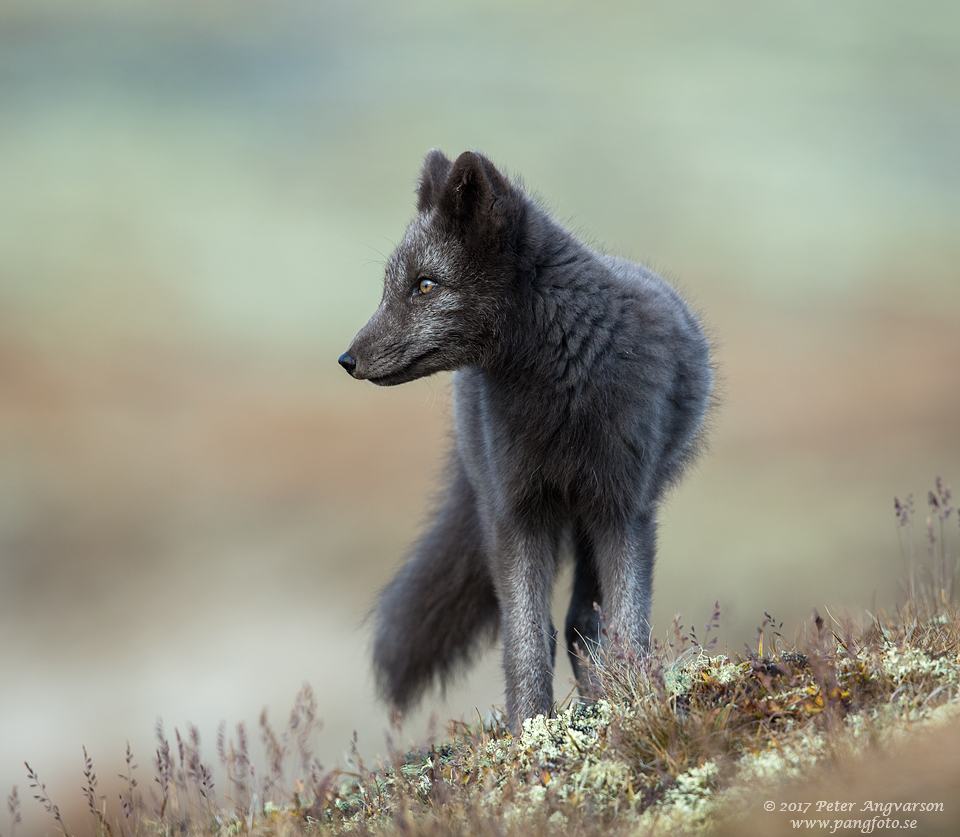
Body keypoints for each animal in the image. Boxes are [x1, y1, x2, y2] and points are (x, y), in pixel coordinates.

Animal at [340, 150, 712, 732]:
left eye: (425, 286)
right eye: (389, 286)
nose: (346, 359)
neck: (562, 384)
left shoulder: (623, 509)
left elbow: (628, 626)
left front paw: (637, 706)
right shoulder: (517, 514)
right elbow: (526, 643)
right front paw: (529, 729)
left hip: (594, 514)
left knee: (584, 621)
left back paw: (603, 699)